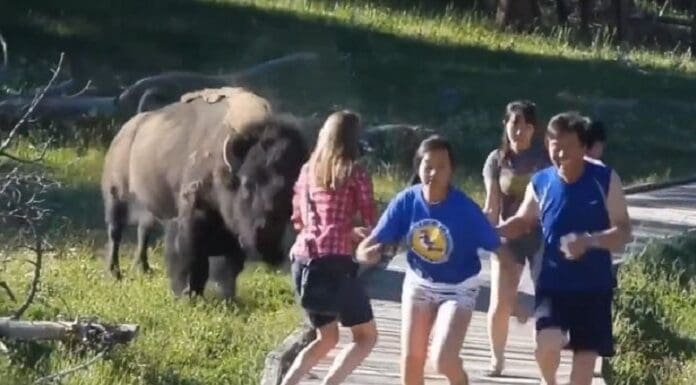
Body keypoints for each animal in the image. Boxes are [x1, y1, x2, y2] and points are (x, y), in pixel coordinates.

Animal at [100, 87, 308, 296]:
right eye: (246, 183)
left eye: (291, 191)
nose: (267, 245)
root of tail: (127, 129)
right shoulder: (192, 219)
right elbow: (194, 262)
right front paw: (188, 294)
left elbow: (228, 269)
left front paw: (227, 297)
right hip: (115, 198)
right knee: (115, 234)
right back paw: (114, 273)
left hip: (147, 209)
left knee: (143, 233)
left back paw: (143, 269)